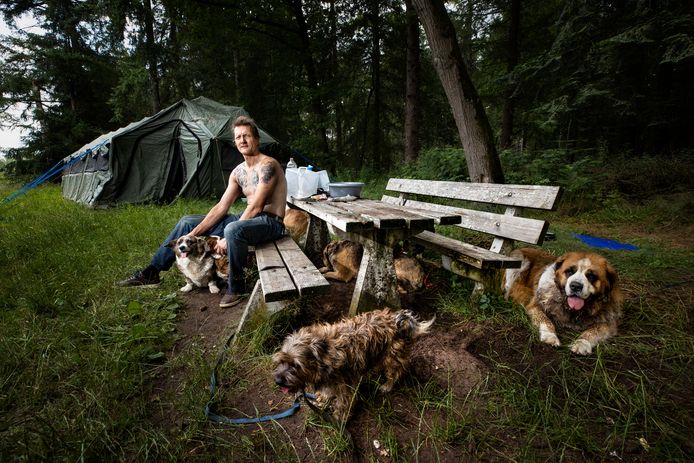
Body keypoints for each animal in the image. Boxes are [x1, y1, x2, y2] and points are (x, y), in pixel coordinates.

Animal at [272, 310, 436, 422]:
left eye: (296, 365)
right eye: (281, 361)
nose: (278, 381)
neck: (325, 355)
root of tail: (397, 320)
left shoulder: (345, 387)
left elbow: (342, 404)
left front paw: (339, 419)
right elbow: (327, 391)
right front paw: (323, 399)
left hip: (392, 358)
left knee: (395, 373)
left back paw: (386, 386)